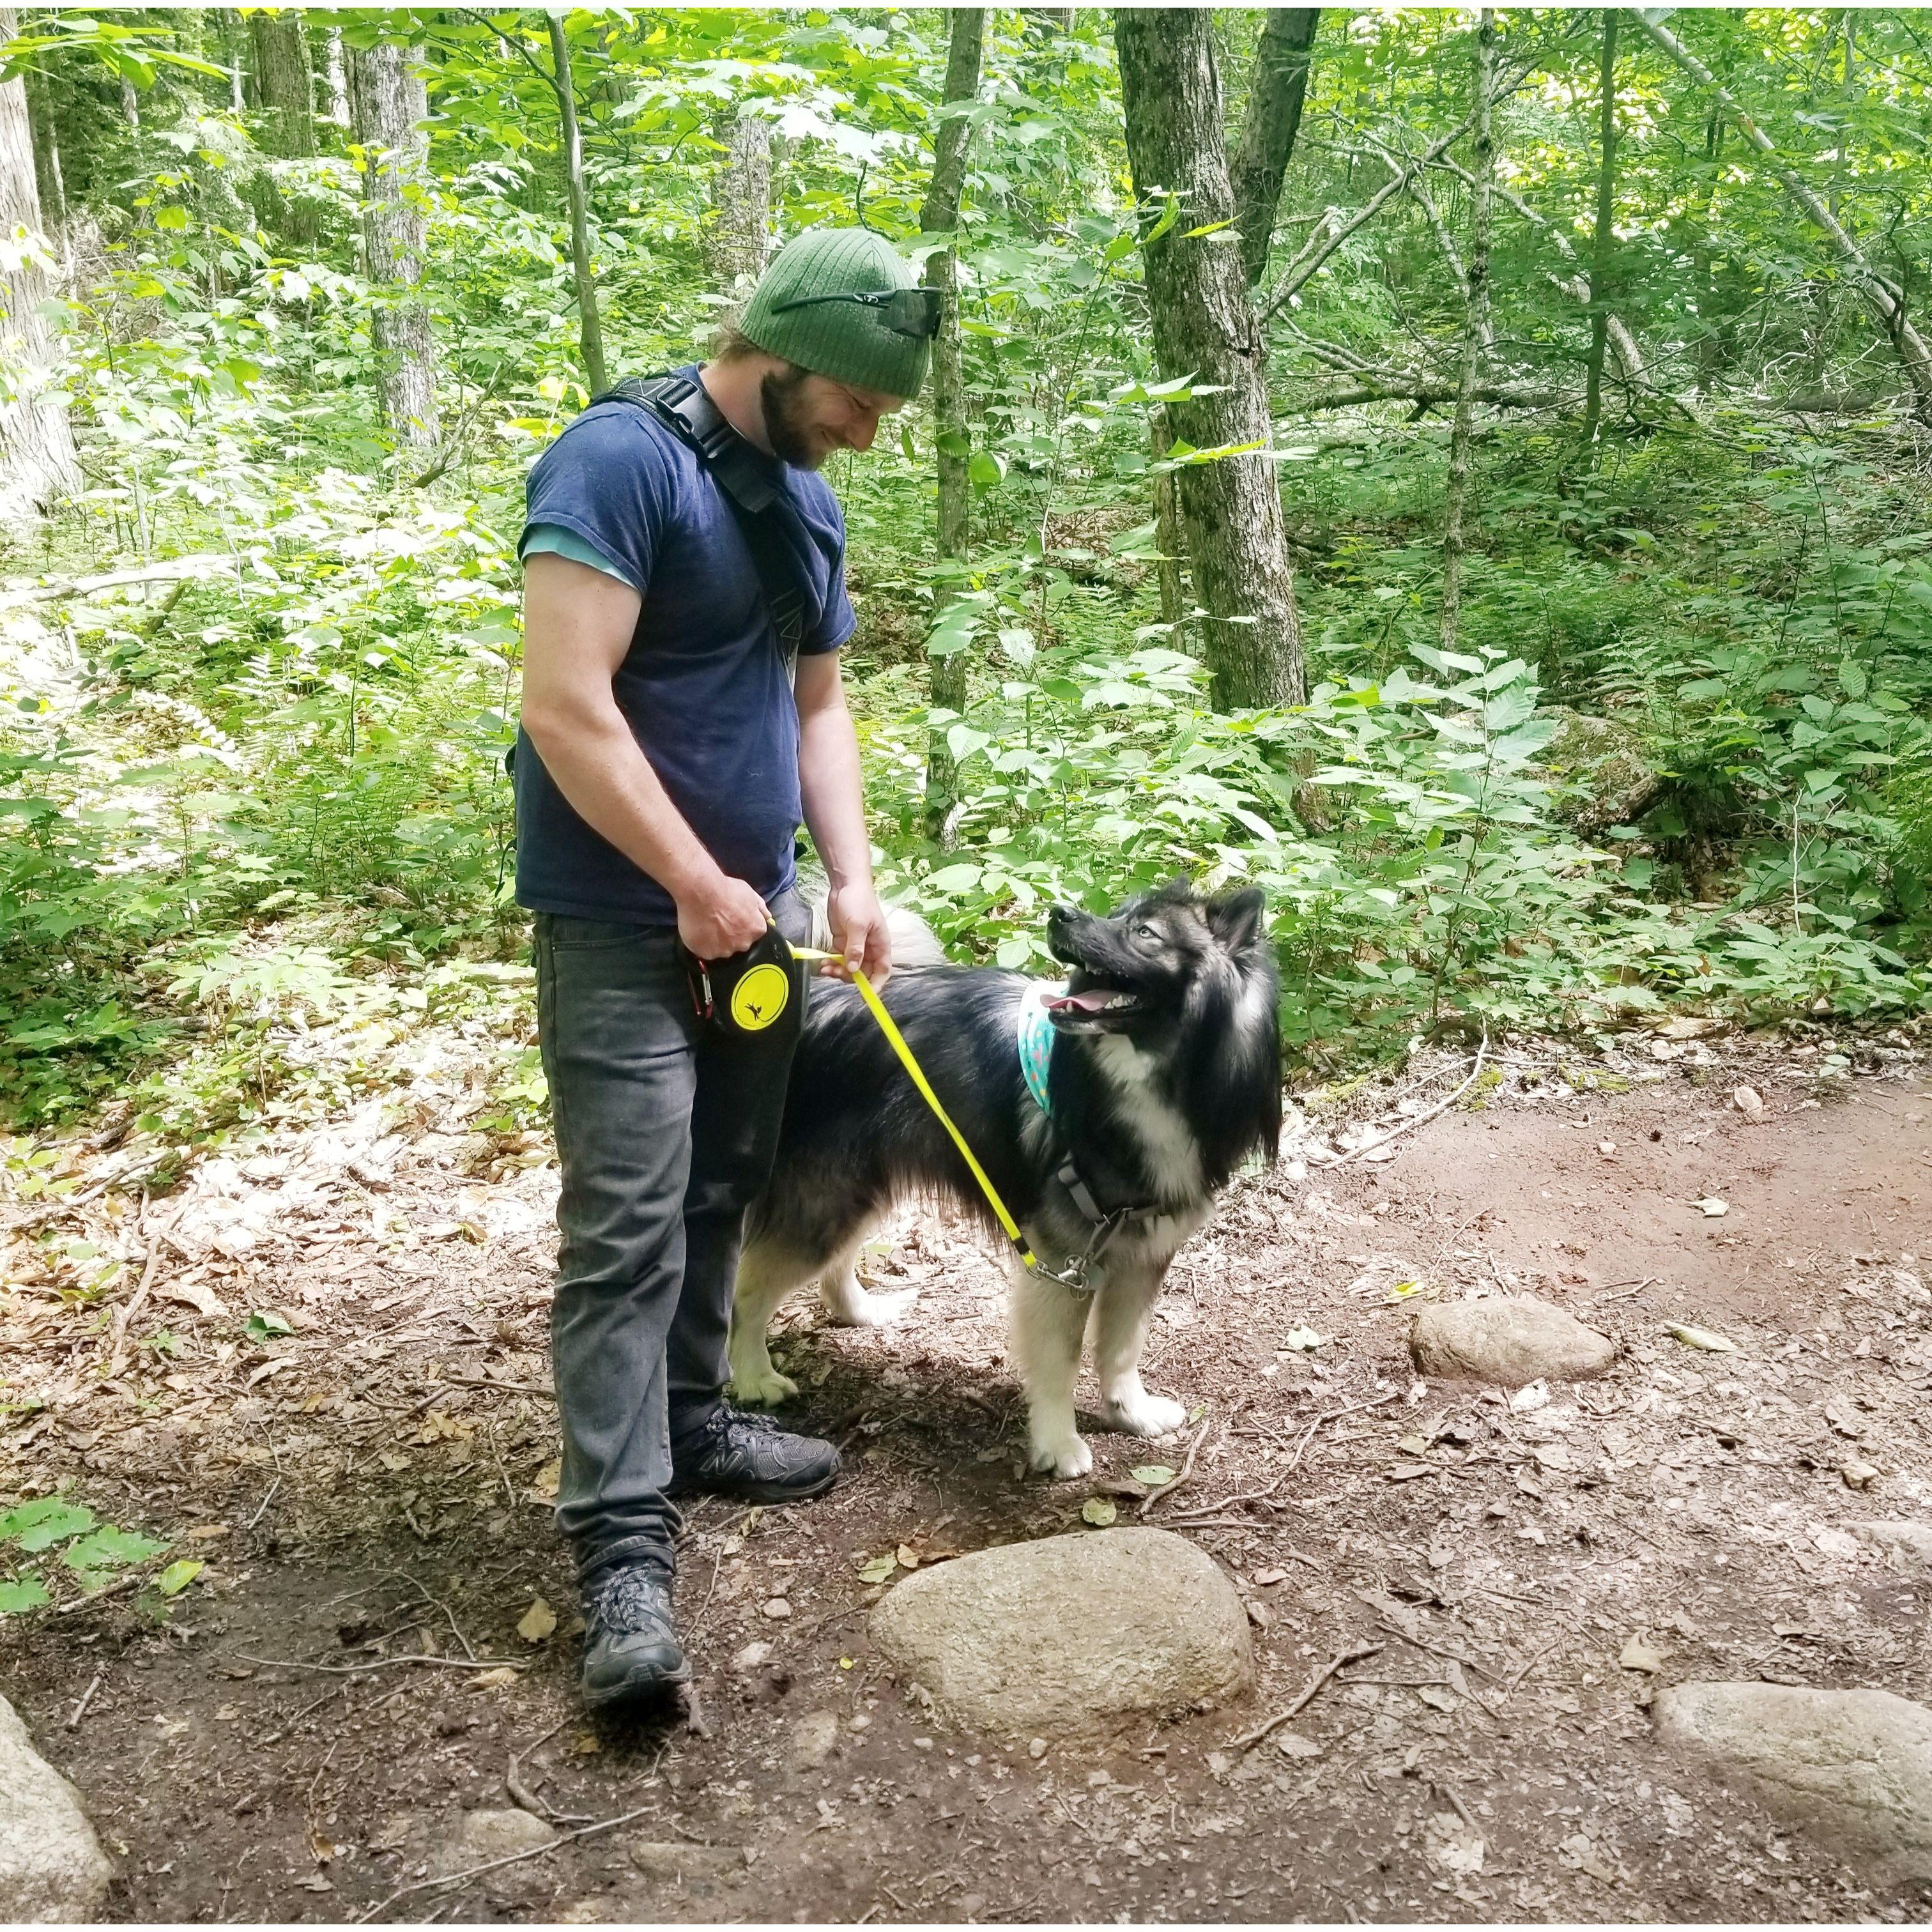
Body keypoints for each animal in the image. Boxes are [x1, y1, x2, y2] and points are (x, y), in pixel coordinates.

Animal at [726, 880, 1282, 1476]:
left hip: (858, 1183)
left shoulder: (1143, 1253)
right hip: (824, 1197)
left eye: (1144, 932)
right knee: (747, 1290)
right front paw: (1058, 1444)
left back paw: (860, 1310)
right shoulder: (1066, 1259)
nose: (1059, 914)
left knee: (832, 1264)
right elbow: (1061, 1361)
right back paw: (754, 1376)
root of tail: (824, 998)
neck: (1145, 1082)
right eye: (1120, 916)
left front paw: (1130, 1412)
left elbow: (1122, 1349)